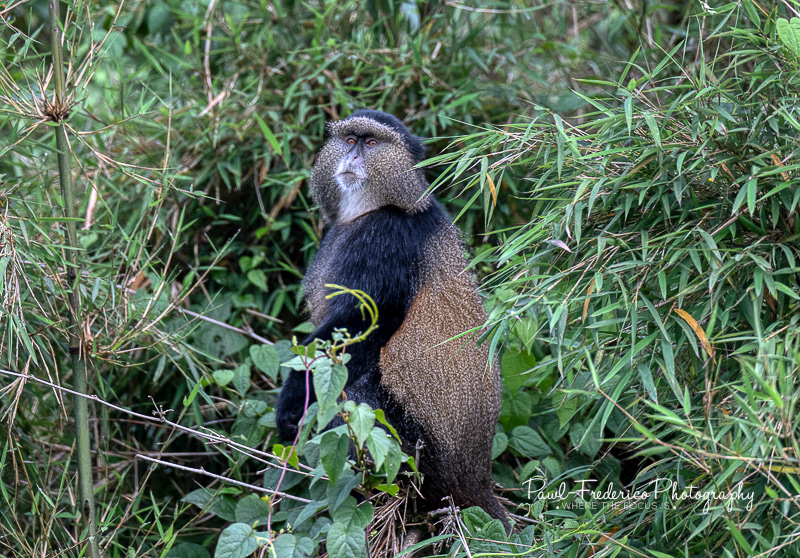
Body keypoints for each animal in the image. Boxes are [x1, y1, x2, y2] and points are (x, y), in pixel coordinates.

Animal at [275, 109, 508, 529]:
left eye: (372, 143)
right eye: (350, 140)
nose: (352, 158)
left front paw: (289, 407)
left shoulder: (386, 242)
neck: (373, 208)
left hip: (418, 455)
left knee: (355, 391)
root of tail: (476, 477)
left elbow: (358, 328)